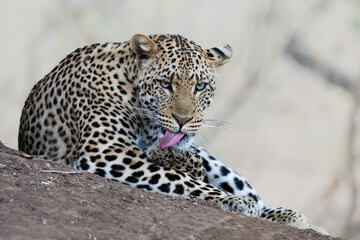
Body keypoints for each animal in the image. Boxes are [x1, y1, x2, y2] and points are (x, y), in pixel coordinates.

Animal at [19, 33, 326, 234]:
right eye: (165, 84)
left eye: (200, 86)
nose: (183, 119)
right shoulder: (108, 151)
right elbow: (181, 179)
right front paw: (235, 201)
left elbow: (189, 173)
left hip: (217, 162)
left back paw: (291, 216)